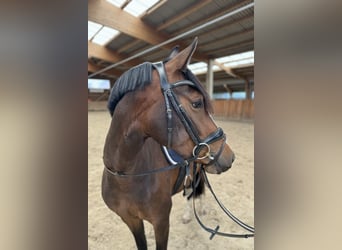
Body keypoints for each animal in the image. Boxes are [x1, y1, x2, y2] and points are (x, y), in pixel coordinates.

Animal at [101, 37, 235, 250]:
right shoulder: (131, 221)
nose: (229, 156)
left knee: (199, 189)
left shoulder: (161, 222)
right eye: (197, 103)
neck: (125, 176)